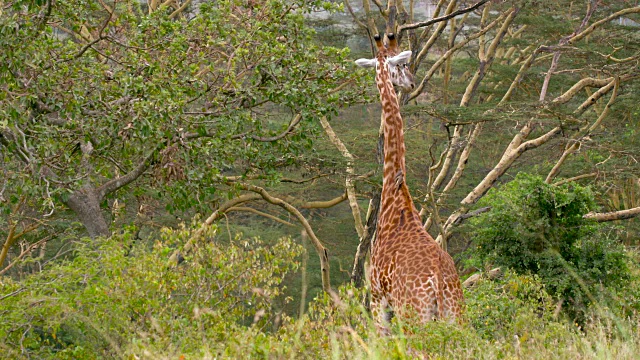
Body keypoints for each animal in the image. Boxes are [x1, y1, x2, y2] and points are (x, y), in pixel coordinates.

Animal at [352, 33, 462, 332]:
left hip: (413, 314)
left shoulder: (378, 297)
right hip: (456, 315)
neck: (396, 193)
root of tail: (439, 283)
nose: (411, 83)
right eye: (402, 65)